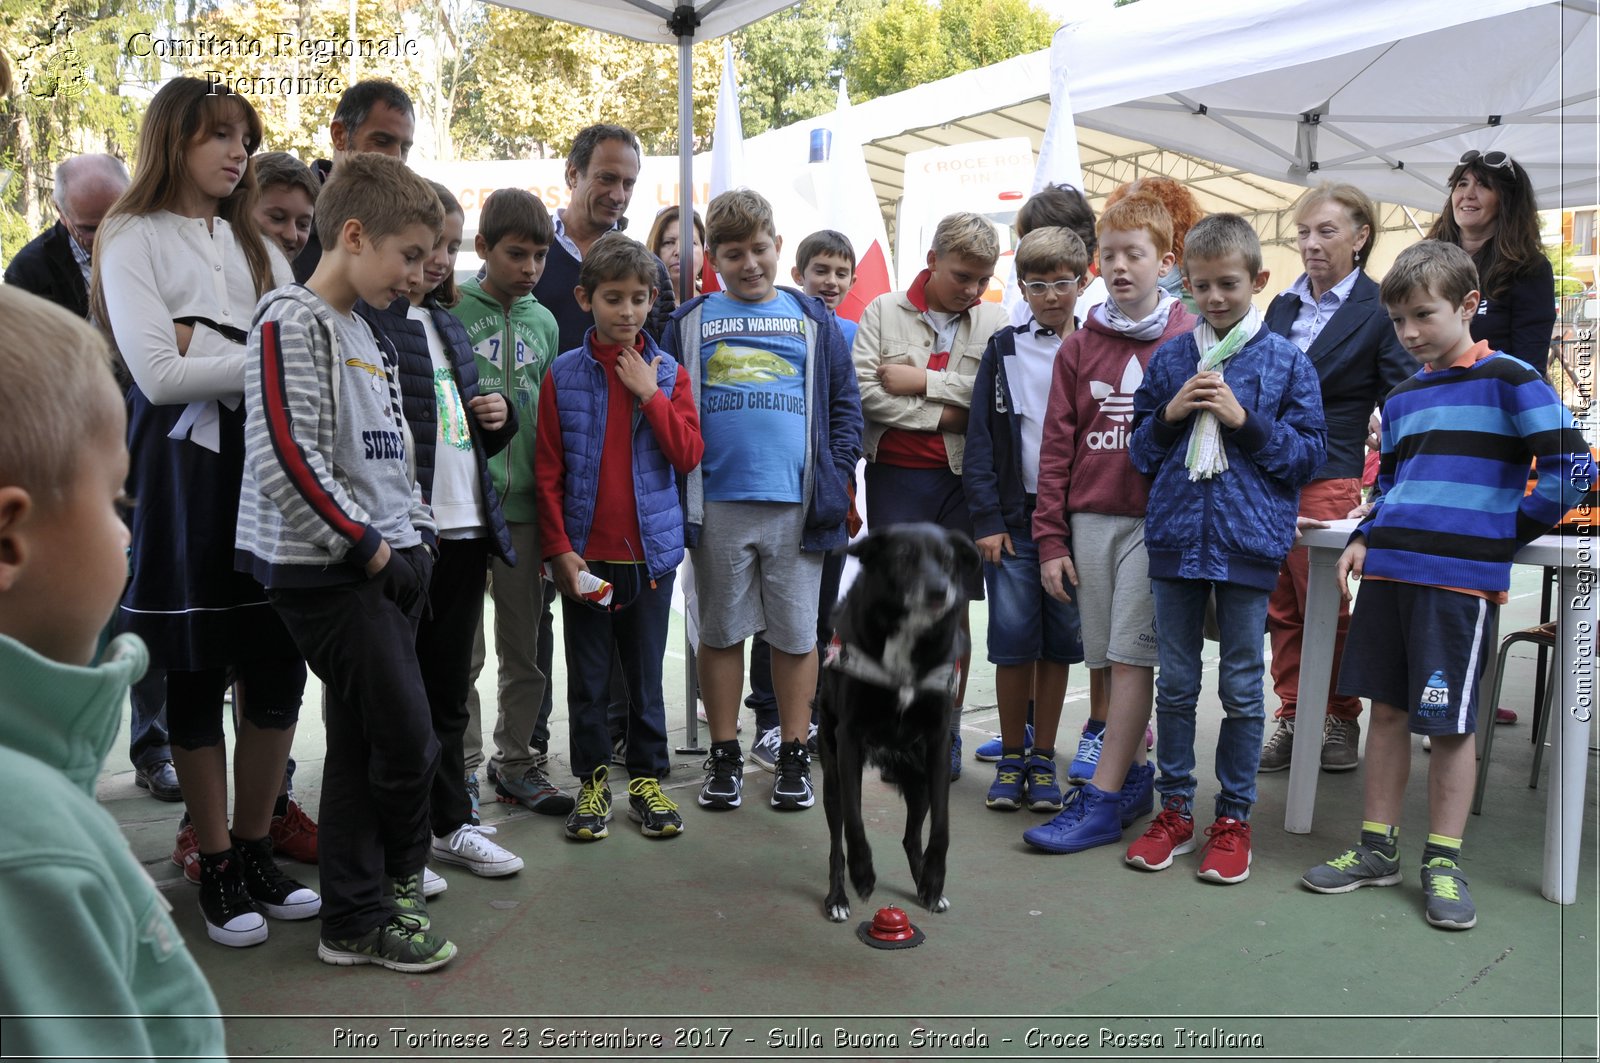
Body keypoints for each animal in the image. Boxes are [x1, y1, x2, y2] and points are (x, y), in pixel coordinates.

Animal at [819, 521, 979, 922]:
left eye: (948, 561)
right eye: (904, 558)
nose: (940, 591)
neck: (908, 631)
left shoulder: (938, 743)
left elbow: (942, 826)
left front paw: (934, 880)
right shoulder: (849, 738)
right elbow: (855, 822)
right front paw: (863, 873)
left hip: (920, 779)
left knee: (911, 837)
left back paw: (924, 884)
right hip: (833, 774)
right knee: (836, 840)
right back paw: (838, 897)